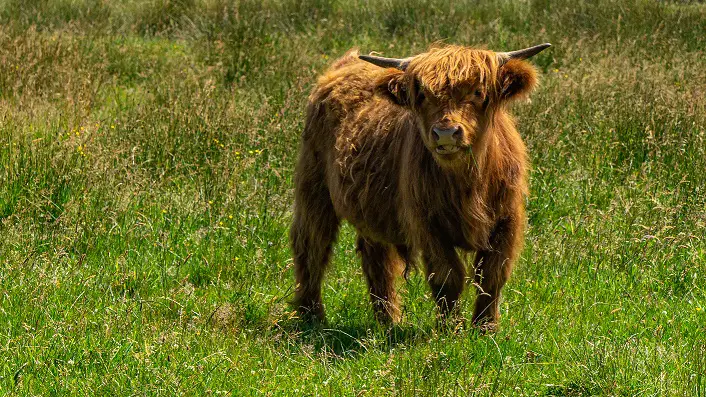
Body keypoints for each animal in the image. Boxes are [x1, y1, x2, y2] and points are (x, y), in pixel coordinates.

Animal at [288, 41, 548, 330]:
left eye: (478, 92)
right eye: (422, 95)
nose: (445, 133)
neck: (469, 185)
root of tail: (345, 63)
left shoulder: (507, 220)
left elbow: (491, 276)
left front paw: (485, 328)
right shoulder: (428, 224)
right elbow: (447, 277)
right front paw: (450, 329)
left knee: (375, 258)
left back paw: (388, 321)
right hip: (314, 186)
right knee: (311, 245)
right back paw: (311, 315)